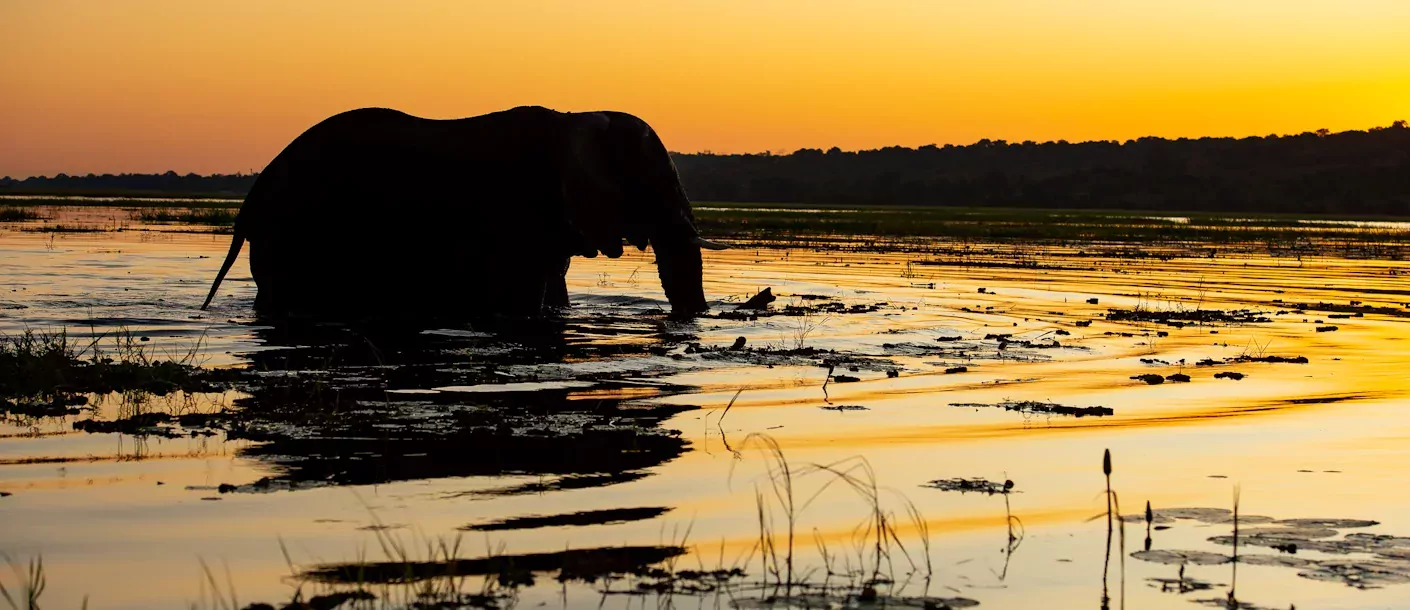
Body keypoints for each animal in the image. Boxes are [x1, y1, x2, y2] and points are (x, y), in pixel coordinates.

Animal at [201, 104, 727, 315]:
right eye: (656, 183)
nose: (691, 318)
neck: (577, 116)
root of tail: (251, 201)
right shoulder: (519, 213)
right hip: (294, 232)